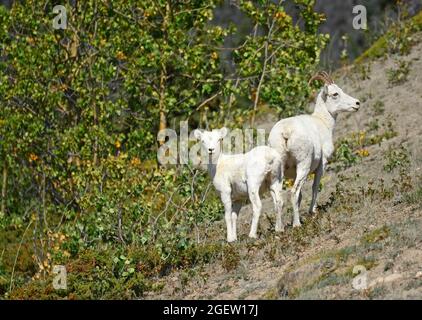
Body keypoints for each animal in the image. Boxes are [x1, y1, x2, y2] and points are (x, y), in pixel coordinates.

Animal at [268, 71, 362, 228]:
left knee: (278, 198)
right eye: (335, 93)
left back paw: (279, 229)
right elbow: (314, 187)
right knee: (293, 192)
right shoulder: (321, 166)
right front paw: (313, 211)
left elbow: (301, 196)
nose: (357, 103)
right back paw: (297, 224)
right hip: (303, 166)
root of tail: (285, 132)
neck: (322, 122)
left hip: (279, 173)